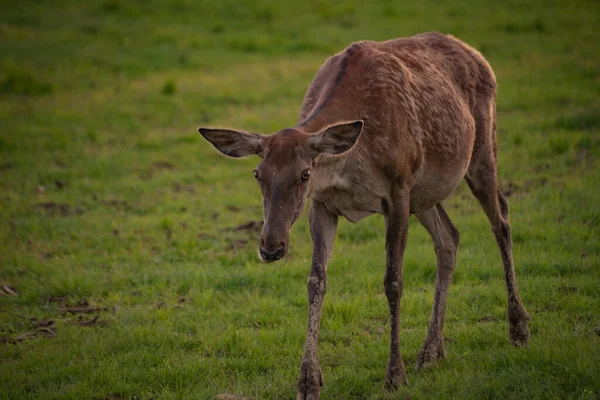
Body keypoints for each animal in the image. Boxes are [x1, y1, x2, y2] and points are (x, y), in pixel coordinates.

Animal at [200, 32, 528, 400]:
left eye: (304, 174)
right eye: (258, 174)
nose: (271, 247)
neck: (351, 164)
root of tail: (478, 55)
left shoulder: (398, 190)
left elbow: (393, 281)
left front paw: (394, 375)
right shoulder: (323, 205)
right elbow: (316, 281)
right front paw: (308, 381)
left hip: (480, 148)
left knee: (501, 218)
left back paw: (518, 329)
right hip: (424, 193)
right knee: (450, 237)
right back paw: (431, 351)